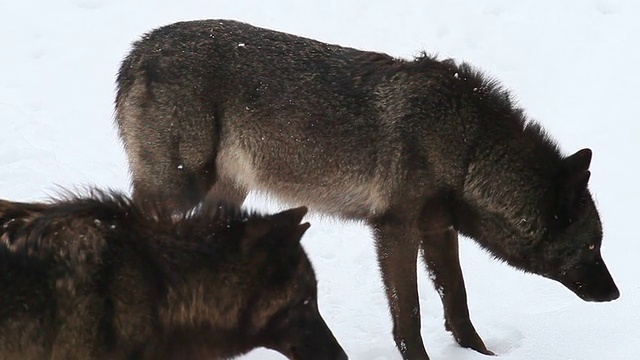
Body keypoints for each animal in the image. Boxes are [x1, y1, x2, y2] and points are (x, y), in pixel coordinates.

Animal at [115, 20, 620, 360]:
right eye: (591, 246)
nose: (615, 294)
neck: (466, 147)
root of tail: (137, 52)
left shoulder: (438, 230)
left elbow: (457, 299)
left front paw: (481, 355)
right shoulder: (394, 229)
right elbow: (410, 313)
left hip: (223, 198)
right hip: (180, 192)